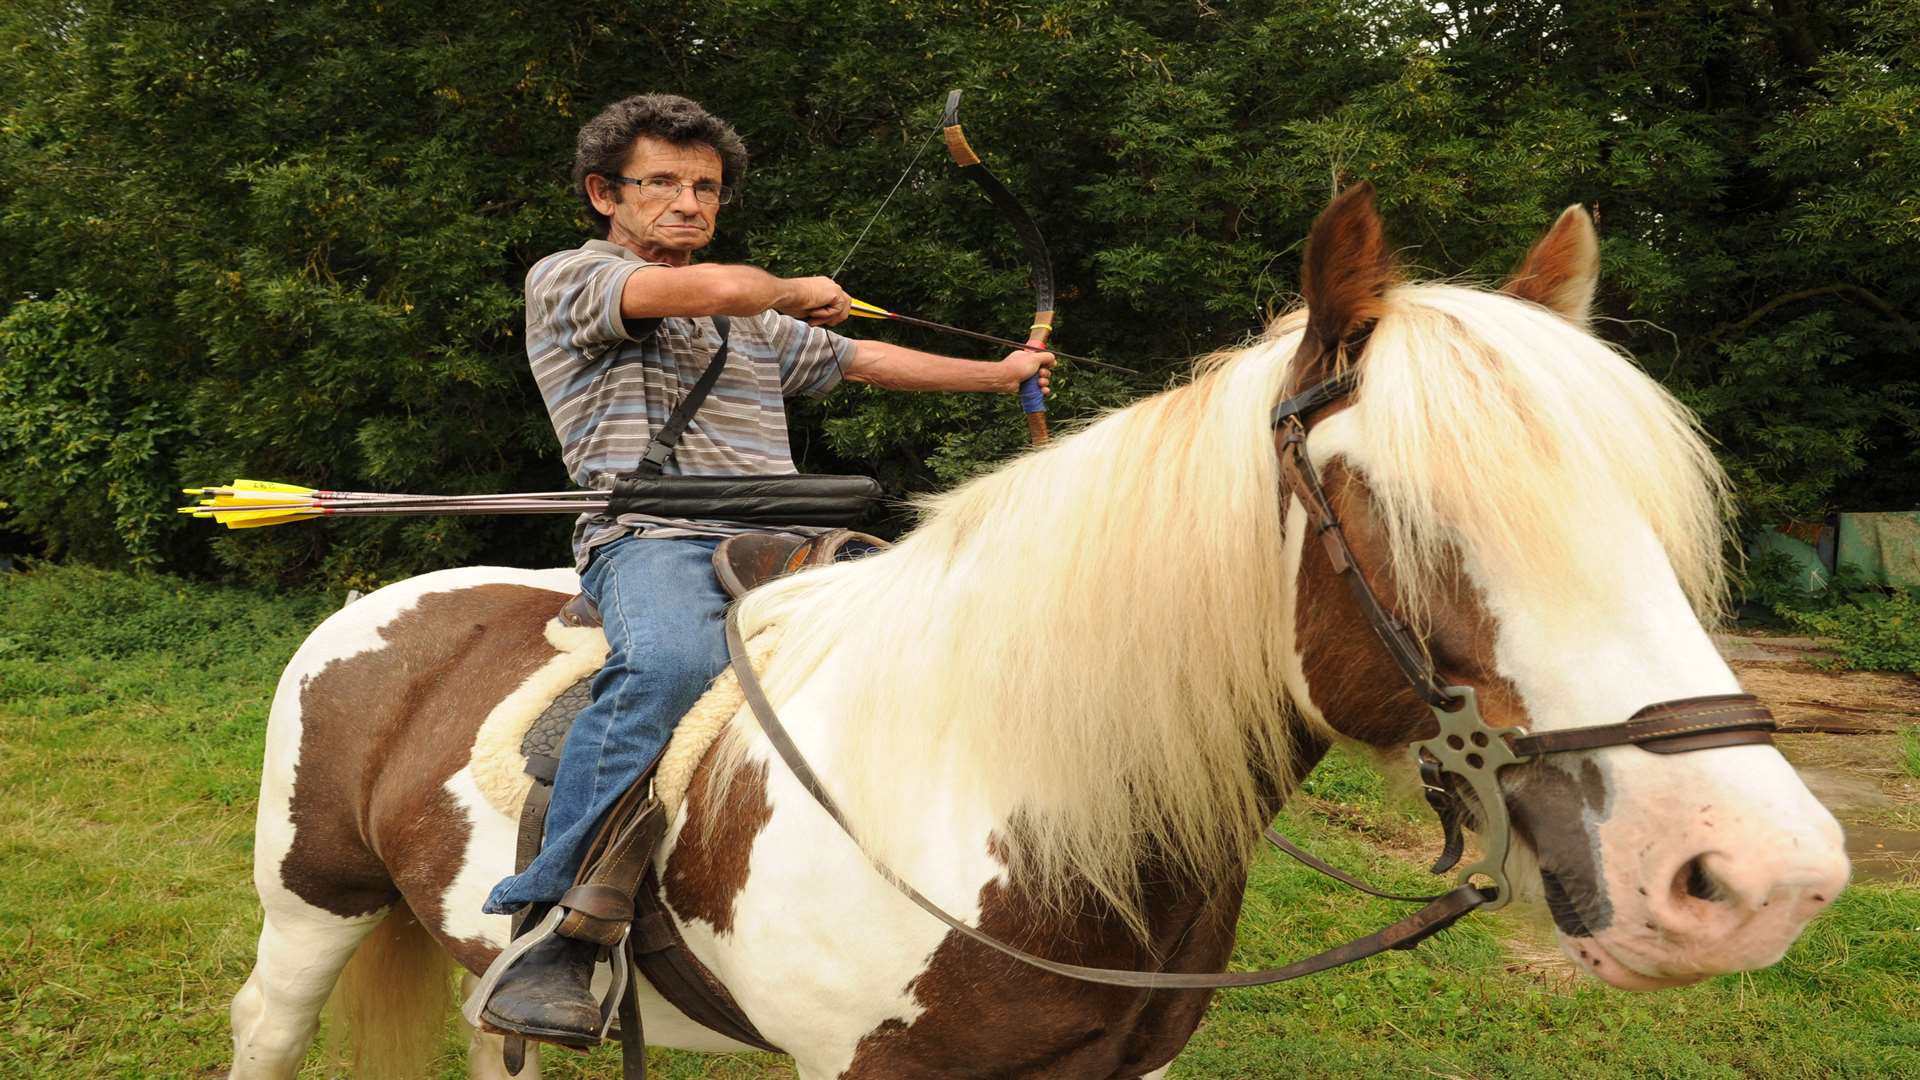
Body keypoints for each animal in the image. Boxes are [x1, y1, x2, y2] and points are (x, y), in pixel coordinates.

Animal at [224, 189, 1843, 1068]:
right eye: (1401, 510)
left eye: (1644, 510)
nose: (1750, 879)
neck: (1007, 785)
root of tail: (376, 610)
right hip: (314, 904)